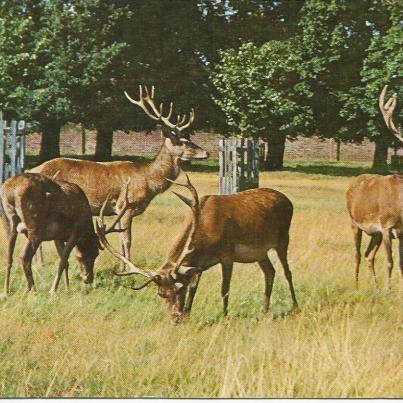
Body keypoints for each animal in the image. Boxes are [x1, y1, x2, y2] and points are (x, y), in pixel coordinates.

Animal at [29, 86, 208, 264]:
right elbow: (127, 240)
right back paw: (40, 263)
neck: (148, 181)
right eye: (184, 141)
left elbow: (122, 241)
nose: (206, 152)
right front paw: (128, 265)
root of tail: (31, 170)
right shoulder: (125, 205)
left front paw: (122, 264)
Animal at [97, 175, 300, 324]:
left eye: (179, 289)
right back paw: (263, 311)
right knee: (270, 271)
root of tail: (288, 200)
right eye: (161, 294)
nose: (175, 319)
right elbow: (195, 287)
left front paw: (224, 315)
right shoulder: (199, 263)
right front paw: (188, 313)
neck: (206, 235)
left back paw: (295, 307)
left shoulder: (227, 254)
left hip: (283, 238)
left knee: (287, 272)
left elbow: (224, 288)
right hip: (260, 253)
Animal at [346, 85, 402, 288]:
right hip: (354, 222)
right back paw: (355, 285)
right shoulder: (386, 226)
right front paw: (389, 289)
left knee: (368, 255)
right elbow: (390, 261)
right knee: (356, 254)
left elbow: (400, 263)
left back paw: (375, 287)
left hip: (374, 234)